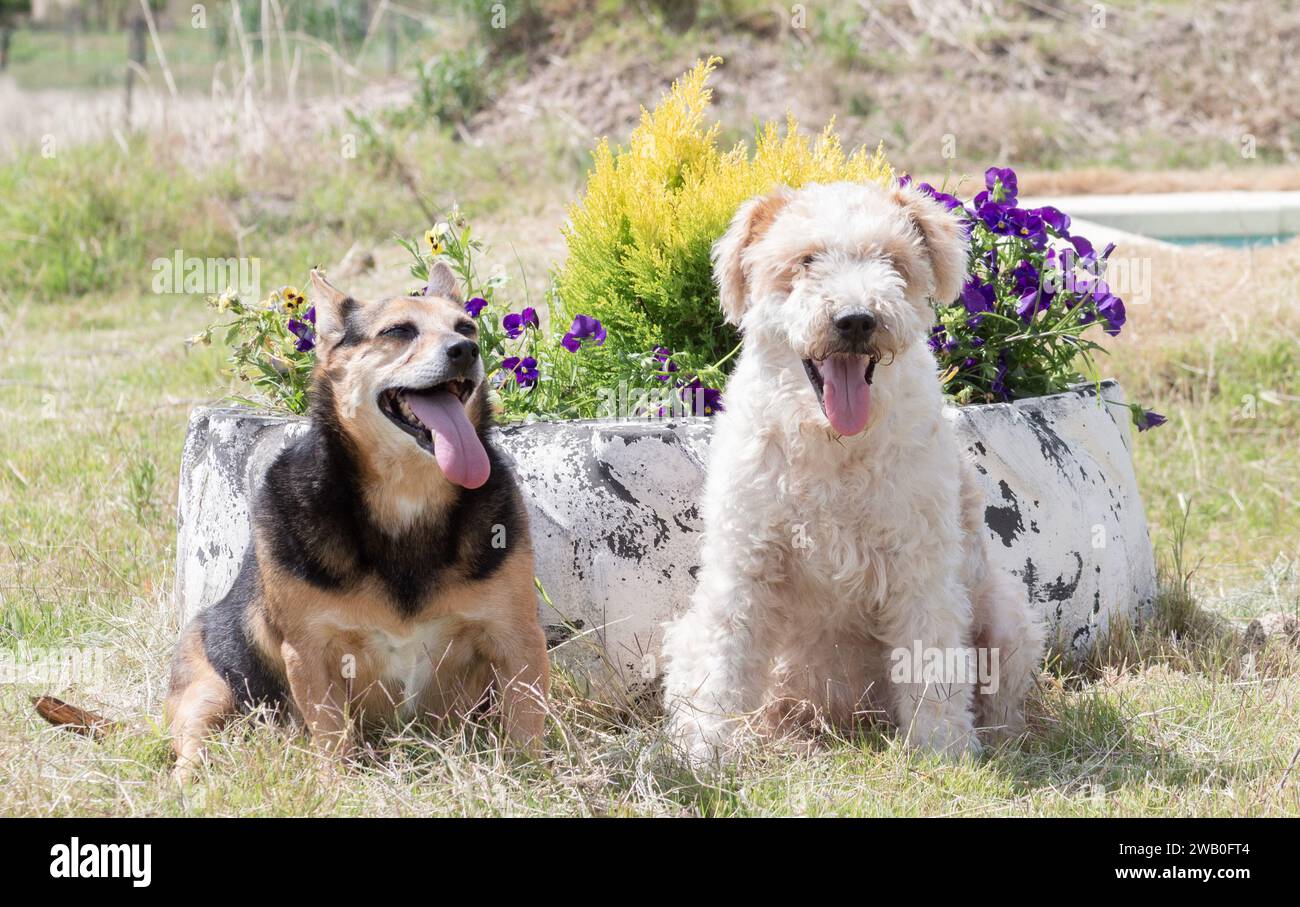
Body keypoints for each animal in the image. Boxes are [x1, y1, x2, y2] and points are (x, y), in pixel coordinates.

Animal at [40, 263, 548, 779]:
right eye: (398, 331)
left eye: (467, 328)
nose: (465, 350)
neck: (407, 494)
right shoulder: (309, 651)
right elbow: (331, 734)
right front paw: (339, 783)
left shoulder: (518, 637)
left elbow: (527, 722)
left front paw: (532, 774)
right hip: (208, 690)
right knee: (190, 752)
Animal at [660, 176, 1045, 753]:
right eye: (805, 259)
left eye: (892, 259)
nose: (857, 320)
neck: (835, 446)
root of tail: (850, 716)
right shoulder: (745, 560)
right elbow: (723, 663)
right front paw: (705, 750)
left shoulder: (919, 565)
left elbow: (931, 660)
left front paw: (942, 752)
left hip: (1009, 619)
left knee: (1000, 700)